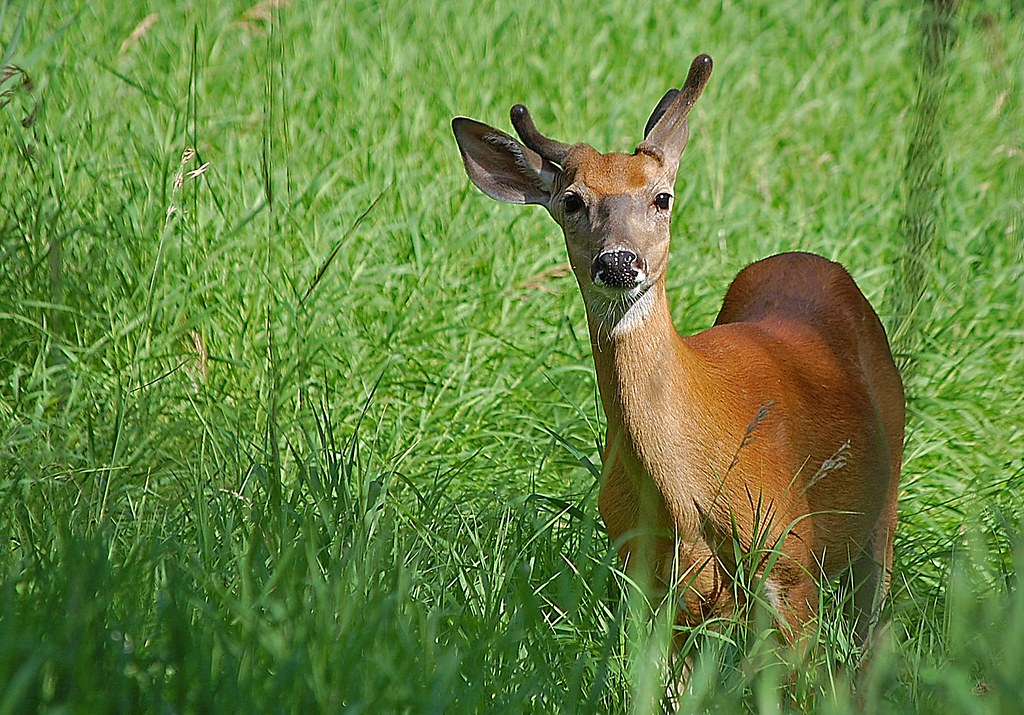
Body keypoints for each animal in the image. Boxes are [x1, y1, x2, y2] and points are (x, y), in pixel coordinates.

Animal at [451, 54, 904, 665]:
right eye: (571, 201)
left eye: (661, 197)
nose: (619, 262)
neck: (685, 492)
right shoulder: (650, 583)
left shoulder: (790, 563)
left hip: (883, 506)